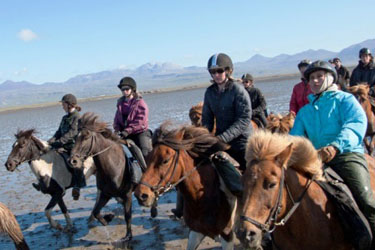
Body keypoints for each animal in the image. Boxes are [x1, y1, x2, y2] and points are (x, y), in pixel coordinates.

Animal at [68, 113, 137, 242]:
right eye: (75, 137)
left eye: (86, 136)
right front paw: (107, 218)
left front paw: (128, 236)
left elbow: (128, 215)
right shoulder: (106, 194)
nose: (72, 161)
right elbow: (96, 212)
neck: (114, 166)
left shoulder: (127, 194)